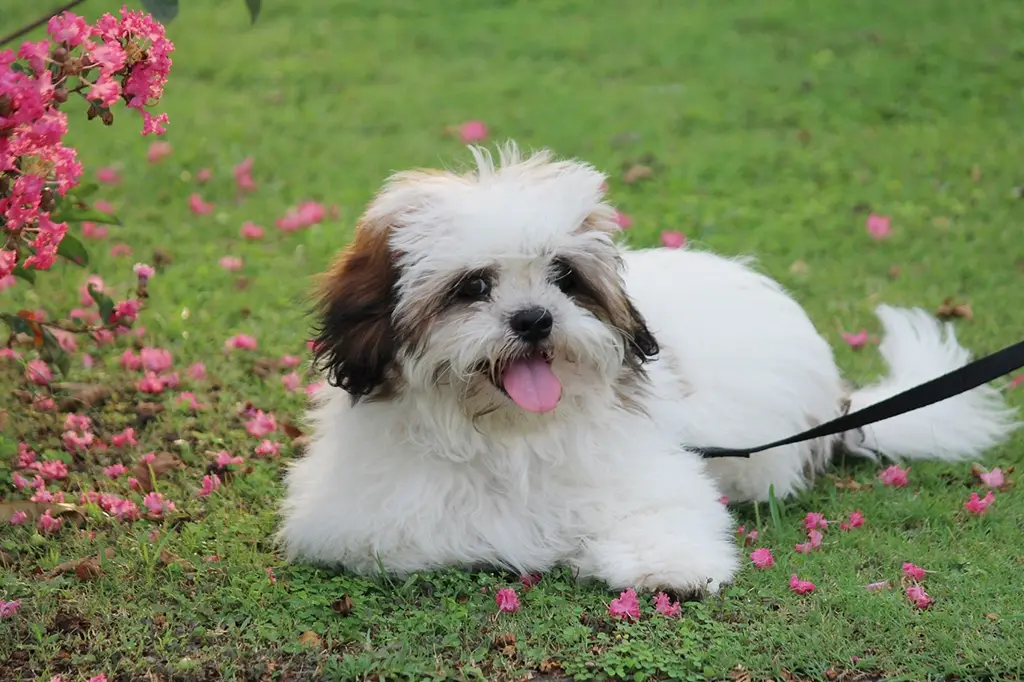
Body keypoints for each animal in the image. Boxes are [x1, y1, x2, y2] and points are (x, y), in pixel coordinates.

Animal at [278, 144, 1015, 593]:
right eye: (473, 286)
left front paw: (669, 568)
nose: (534, 320)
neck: (510, 432)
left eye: (563, 278)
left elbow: (663, 514)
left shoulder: (654, 471)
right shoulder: (369, 521)